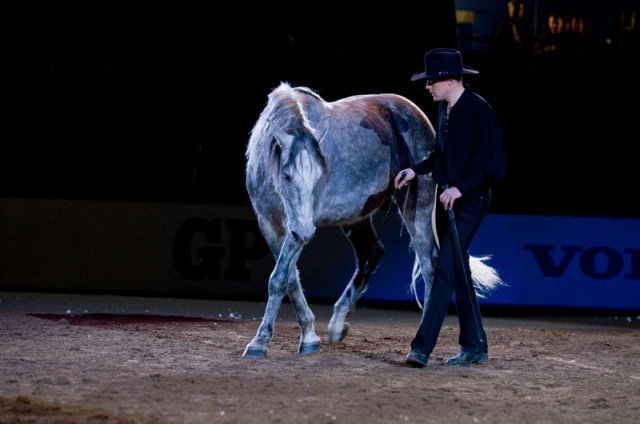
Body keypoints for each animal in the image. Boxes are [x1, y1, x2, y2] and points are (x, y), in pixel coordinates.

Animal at [243, 81, 502, 358]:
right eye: (287, 175)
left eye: (319, 176)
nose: (304, 232)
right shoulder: (270, 225)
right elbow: (289, 279)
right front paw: (307, 336)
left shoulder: (297, 225)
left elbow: (280, 278)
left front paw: (260, 341)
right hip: (354, 216)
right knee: (372, 251)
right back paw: (338, 323)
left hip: (416, 209)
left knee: (430, 263)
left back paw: (420, 342)